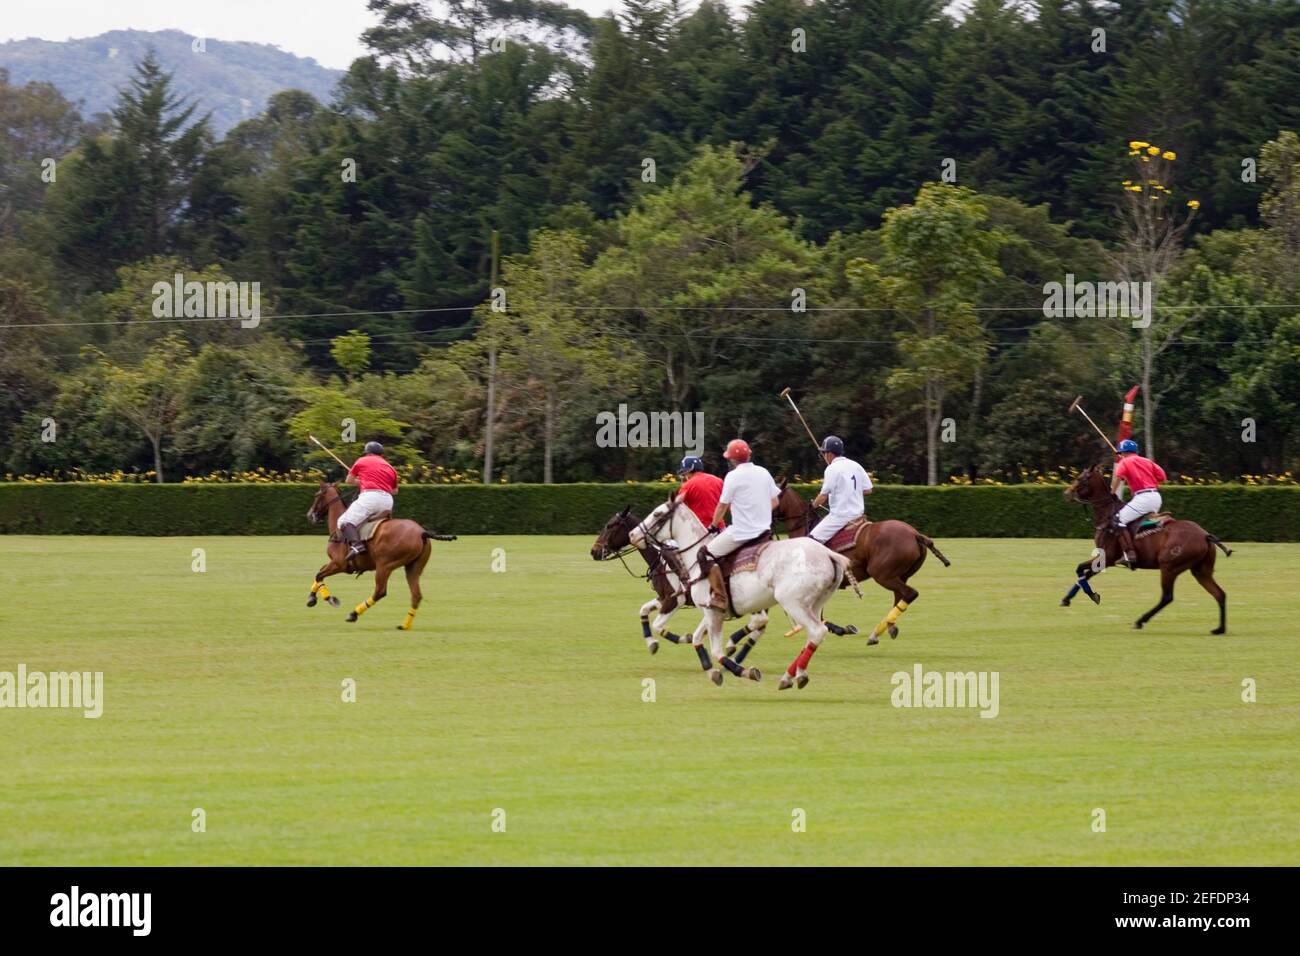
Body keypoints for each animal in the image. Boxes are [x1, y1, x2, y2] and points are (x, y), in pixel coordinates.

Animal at [302, 481, 454, 632]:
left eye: (316, 495)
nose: (310, 515)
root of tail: (422, 533)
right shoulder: (335, 563)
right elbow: (319, 572)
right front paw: (314, 598)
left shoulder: (339, 564)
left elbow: (319, 574)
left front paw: (325, 599)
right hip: (413, 567)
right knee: (416, 595)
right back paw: (404, 625)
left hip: (384, 565)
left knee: (380, 591)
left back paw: (353, 614)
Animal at [595, 504, 774, 660]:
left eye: (610, 525)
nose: (594, 551)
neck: (659, 559)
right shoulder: (663, 597)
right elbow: (643, 610)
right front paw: (652, 643)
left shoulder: (675, 599)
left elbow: (658, 626)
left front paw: (685, 638)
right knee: (760, 627)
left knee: (759, 622)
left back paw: (731, 645)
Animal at [631, 496, 852, 691]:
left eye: (657, 513)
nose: (633, 535)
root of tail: (828, 554)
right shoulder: (711, 610)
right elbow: (696, 638)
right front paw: (712, 670)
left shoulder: (707, 610)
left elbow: (716, 649)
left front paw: (744, 671)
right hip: (814, 603)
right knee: (813, 633)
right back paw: (790, 676)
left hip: (792, 602)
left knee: (816, 631)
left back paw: (797, 675)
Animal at [774, 481, 951, 647]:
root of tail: (915, 534)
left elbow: (818, 616)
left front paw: (842, 629)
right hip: (900, 575)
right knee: (900, 596)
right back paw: (886, 628)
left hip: (881, 574)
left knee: (910, 593)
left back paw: (876, 633)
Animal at [1060, 465, 1232, 634]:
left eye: (1080, 479)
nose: (1066, 494)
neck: (1107, 516)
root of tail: (1205, 535)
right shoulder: (1105, 560)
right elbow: (1083, 573)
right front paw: (1071, 598)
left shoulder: (1107, 558)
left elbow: (1081, 569)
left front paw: (1087, 596)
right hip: (1201, 570)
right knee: (1220, 594)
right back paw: (1219, 628)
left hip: (1169, 567)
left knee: (1167, 597)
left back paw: (1140, 621)